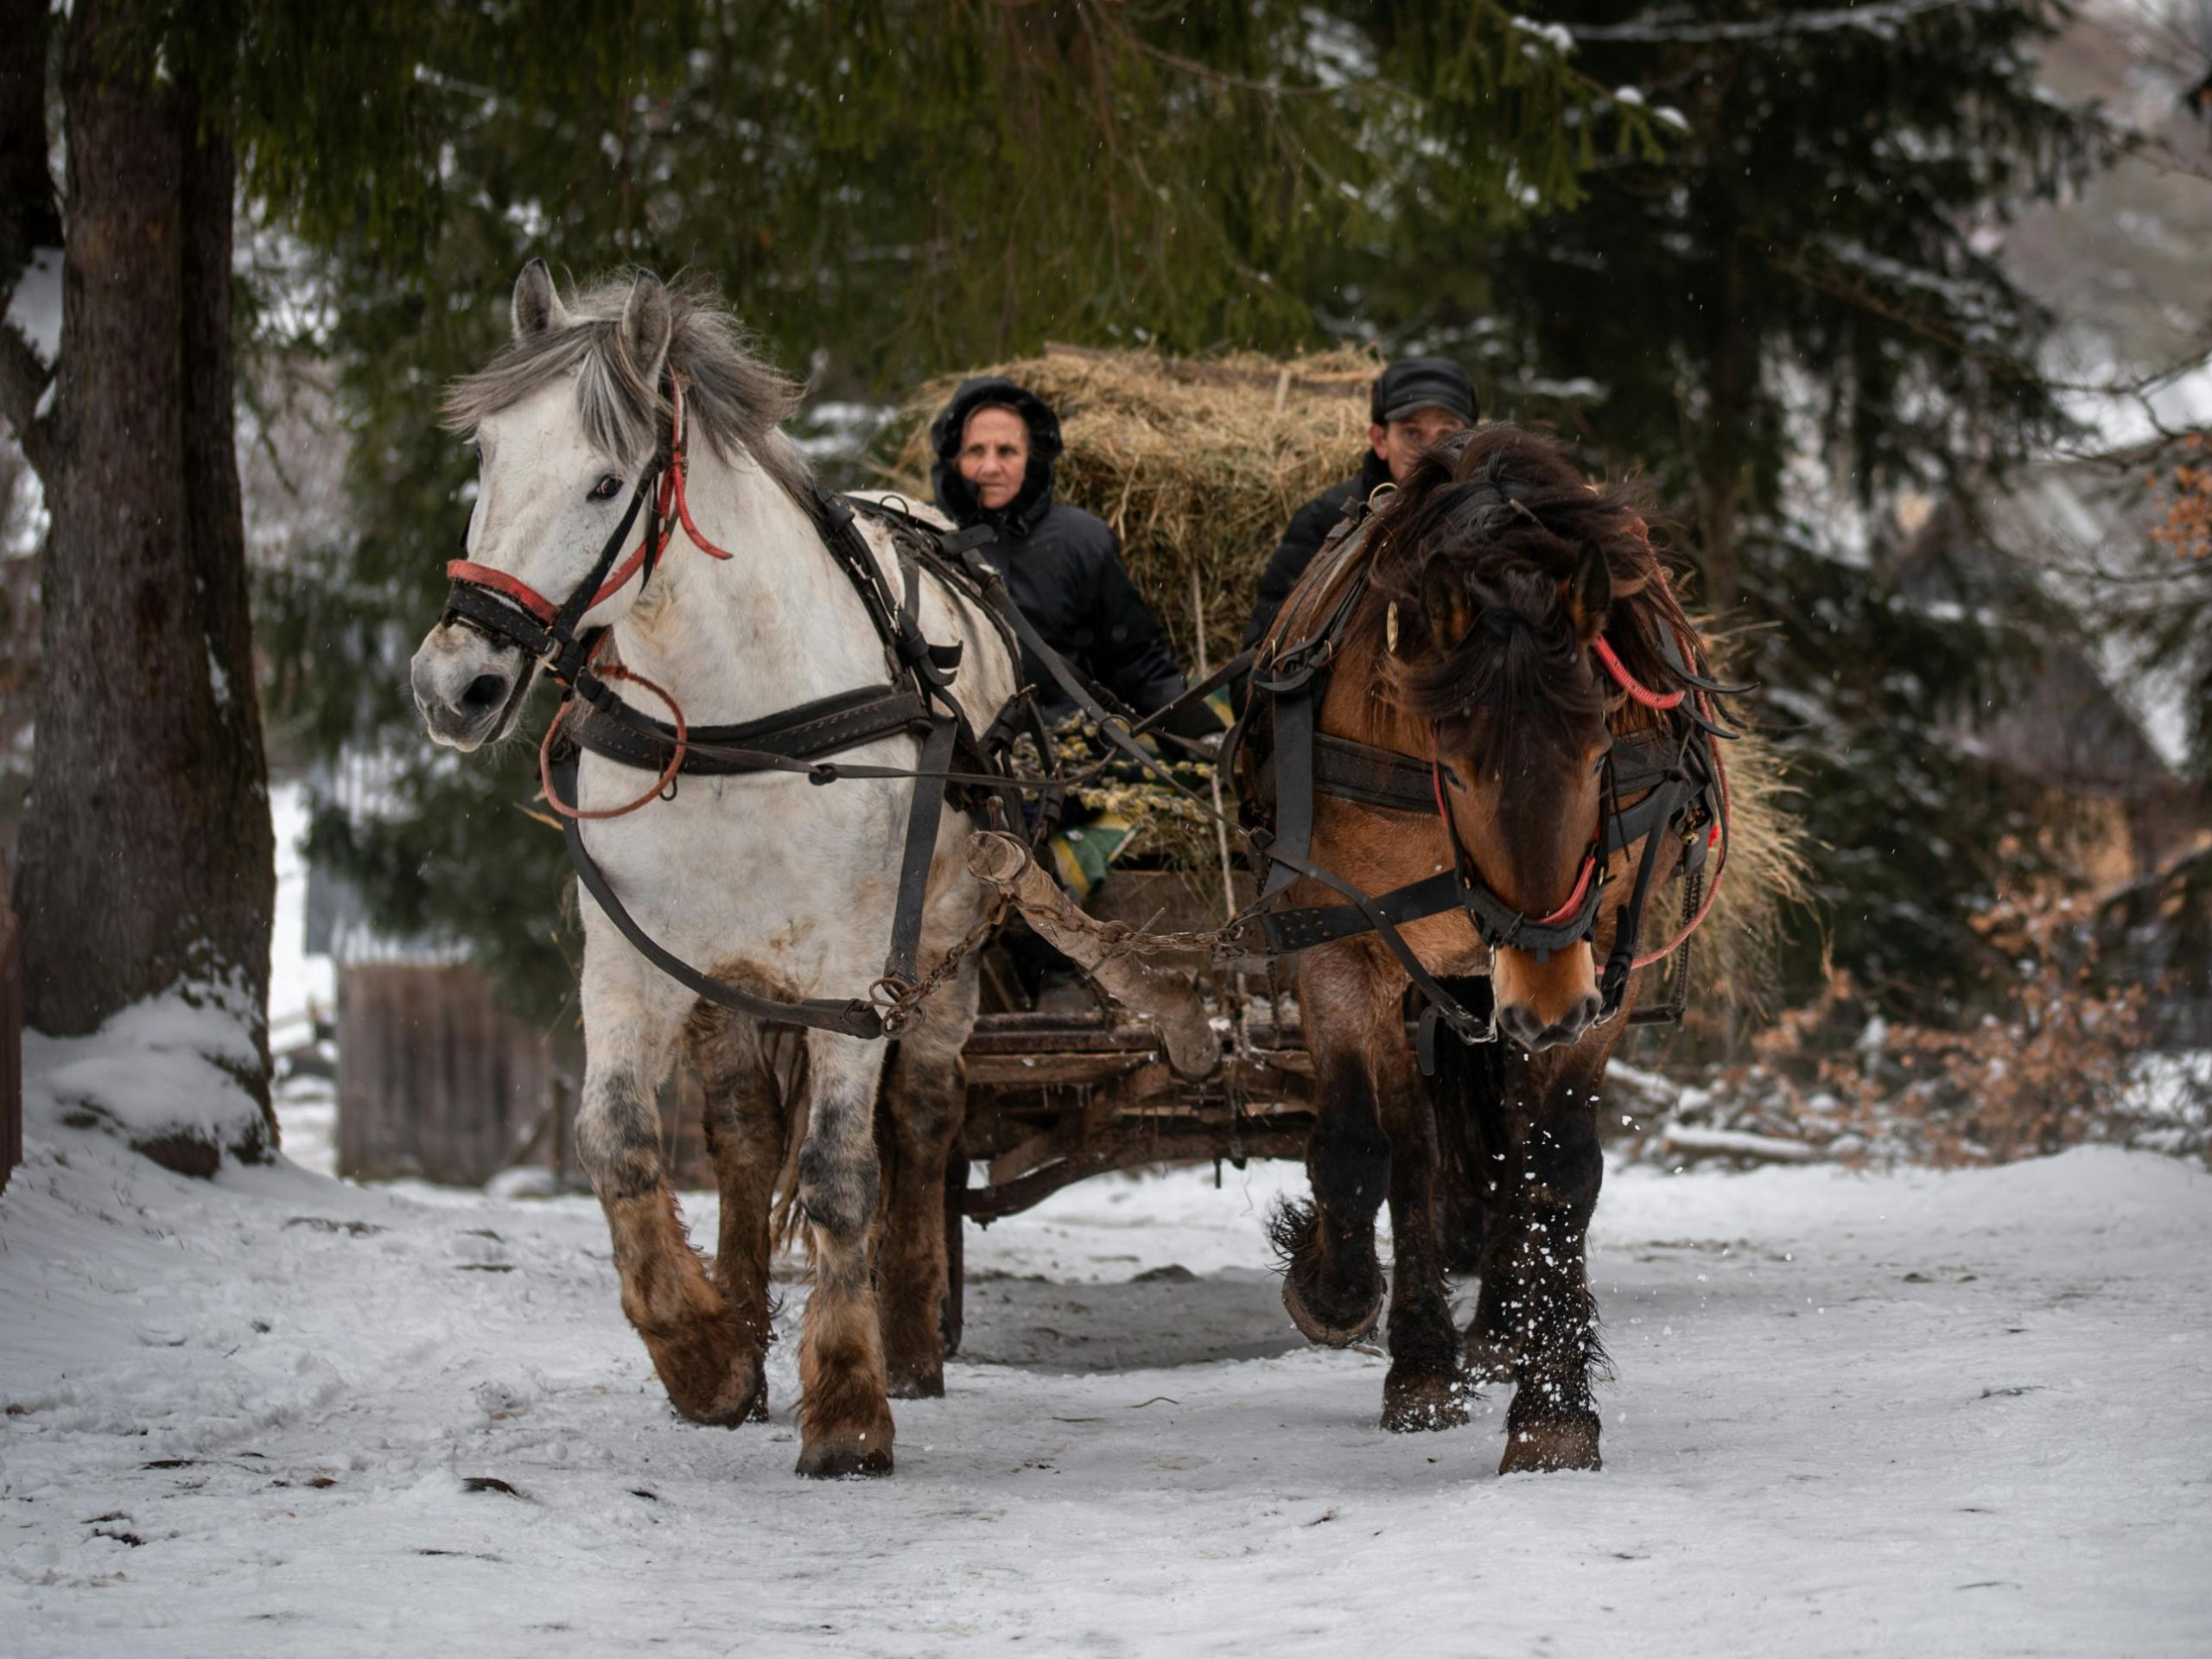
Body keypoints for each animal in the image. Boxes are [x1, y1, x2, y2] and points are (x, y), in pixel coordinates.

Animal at [409, 262, 1018, 1477]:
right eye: (488, 458)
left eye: (605, 482)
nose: (455, 684)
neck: (741, 722)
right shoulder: (632, 962)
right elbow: (616, 1142)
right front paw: (701, 1352)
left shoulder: (855, 977)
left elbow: (840, 1175)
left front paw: (846, 1403)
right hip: (724, 979)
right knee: (741, 1136)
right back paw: (739, 1310)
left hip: (948, 950)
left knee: (923, 1117)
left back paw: (911, 1333)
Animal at [1240, 423, 1722, 1474]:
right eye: (1454, 767)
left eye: (1597, 756)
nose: (1544, 1003)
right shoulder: (1339, 937)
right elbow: (1358, 1146)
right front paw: (1332, 1289)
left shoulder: (1604, 960)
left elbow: (1558, 1169)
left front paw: (1554, 1406)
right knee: (1418, 1147)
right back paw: (1422, 1358)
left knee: (1508, 1144)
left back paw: (1503, 1327)